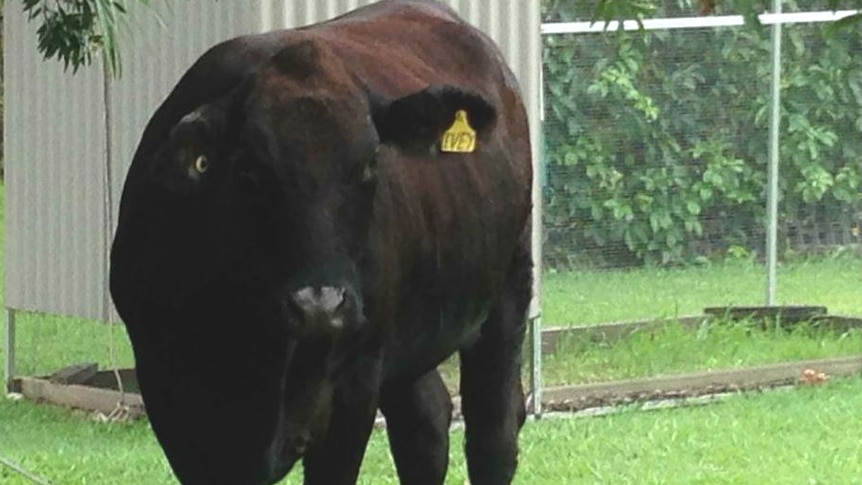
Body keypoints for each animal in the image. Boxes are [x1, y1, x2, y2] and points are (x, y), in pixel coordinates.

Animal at [109, 1, 532, 482]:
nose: (319, 305)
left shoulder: (353, 386)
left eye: (370, 163)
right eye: (249, 169)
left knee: (493, 433)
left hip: (508, 291)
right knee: (426, 424)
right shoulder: (172, 398)